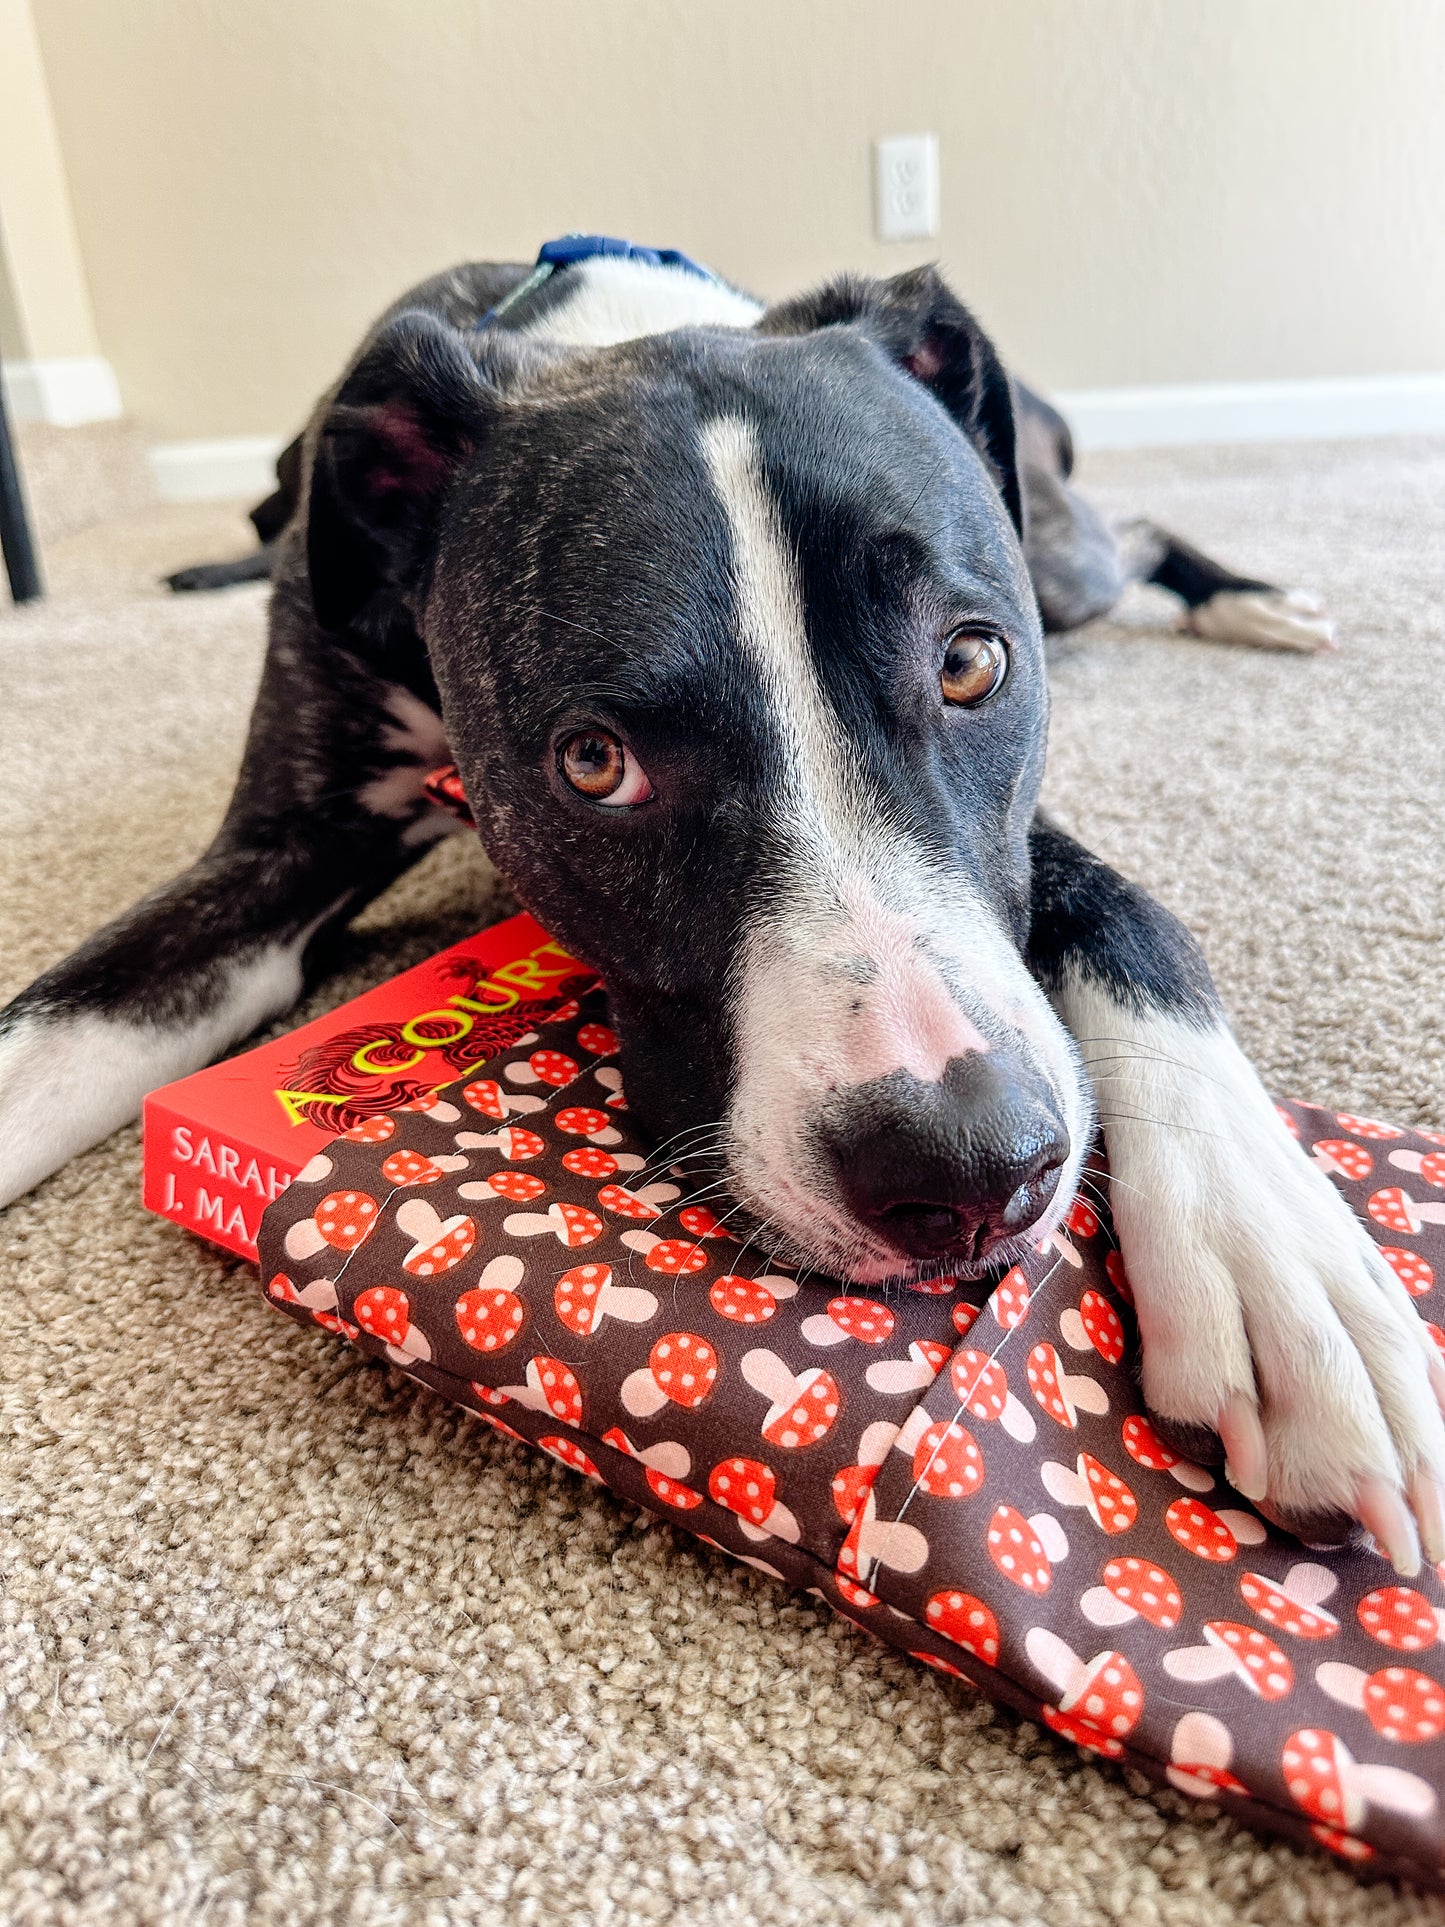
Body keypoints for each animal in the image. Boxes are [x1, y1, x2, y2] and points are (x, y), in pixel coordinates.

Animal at [2, 256, 1445, 1572]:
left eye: (971, 663)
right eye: (594, 762)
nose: (969, 1169)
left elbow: (1135, 919)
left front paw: (1279, 1271)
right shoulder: (270, 853)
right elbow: (55, 1029)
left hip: (1060, 554)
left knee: (1129, 532)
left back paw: (1250, 599)